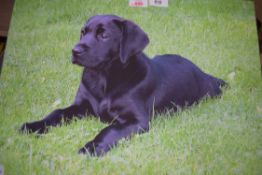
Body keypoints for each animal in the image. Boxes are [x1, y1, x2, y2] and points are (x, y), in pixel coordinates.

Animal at [20, 14, 226, 156]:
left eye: (104, 35)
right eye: (82, 32)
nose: (75, 50)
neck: (103, 78)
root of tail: (206, 74)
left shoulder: (136, 120)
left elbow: (109, 130)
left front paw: (91, 148)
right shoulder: (81, 105)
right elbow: (57, 113)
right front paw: (32, 126)